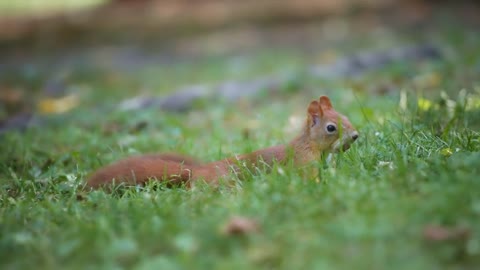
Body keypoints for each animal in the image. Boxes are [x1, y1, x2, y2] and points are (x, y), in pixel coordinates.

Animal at [86, 96, 358, 189]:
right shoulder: (303, 165)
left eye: (346, 116)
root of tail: (196, 172)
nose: (356, 136)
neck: (309, 146)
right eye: (331, 127)